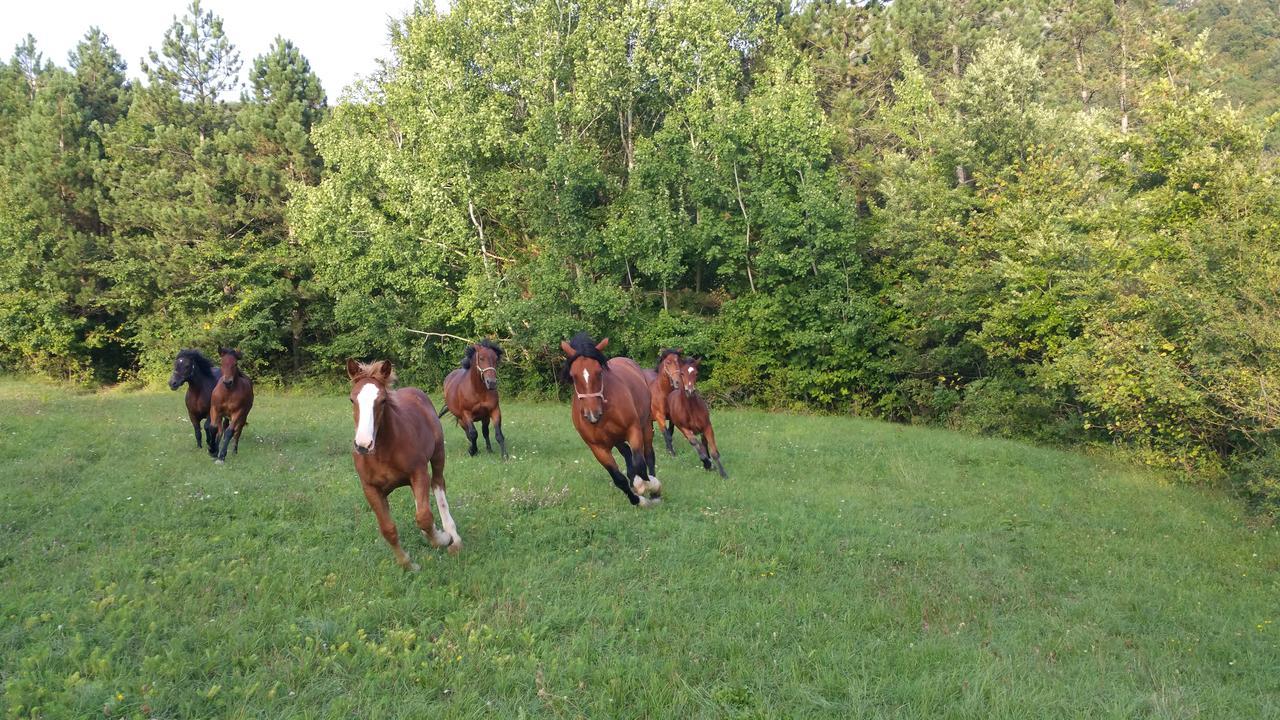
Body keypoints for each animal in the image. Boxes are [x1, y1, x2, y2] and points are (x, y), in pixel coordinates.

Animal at [345, 356, 460, 568]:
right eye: (352, 399)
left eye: (382, 400)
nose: (363, 445)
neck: (383, 452)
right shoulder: (370, 488)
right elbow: (388, 529)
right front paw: (407, 564)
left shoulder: (419, 473)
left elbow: (424, 517)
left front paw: (443, 539)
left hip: (438, 455)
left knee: (438, 486)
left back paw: (453, 537)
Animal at [560, 330, 660, 504]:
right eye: (573, 375)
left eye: (599, 372)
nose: (592, 414)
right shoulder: (597, 447)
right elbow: (618, 478)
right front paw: (636, 500)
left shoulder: (634, 430)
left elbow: (640, 465)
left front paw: (648, 487)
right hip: (616, 439)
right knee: (626, 453)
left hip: (646, 425)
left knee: (648, 455)